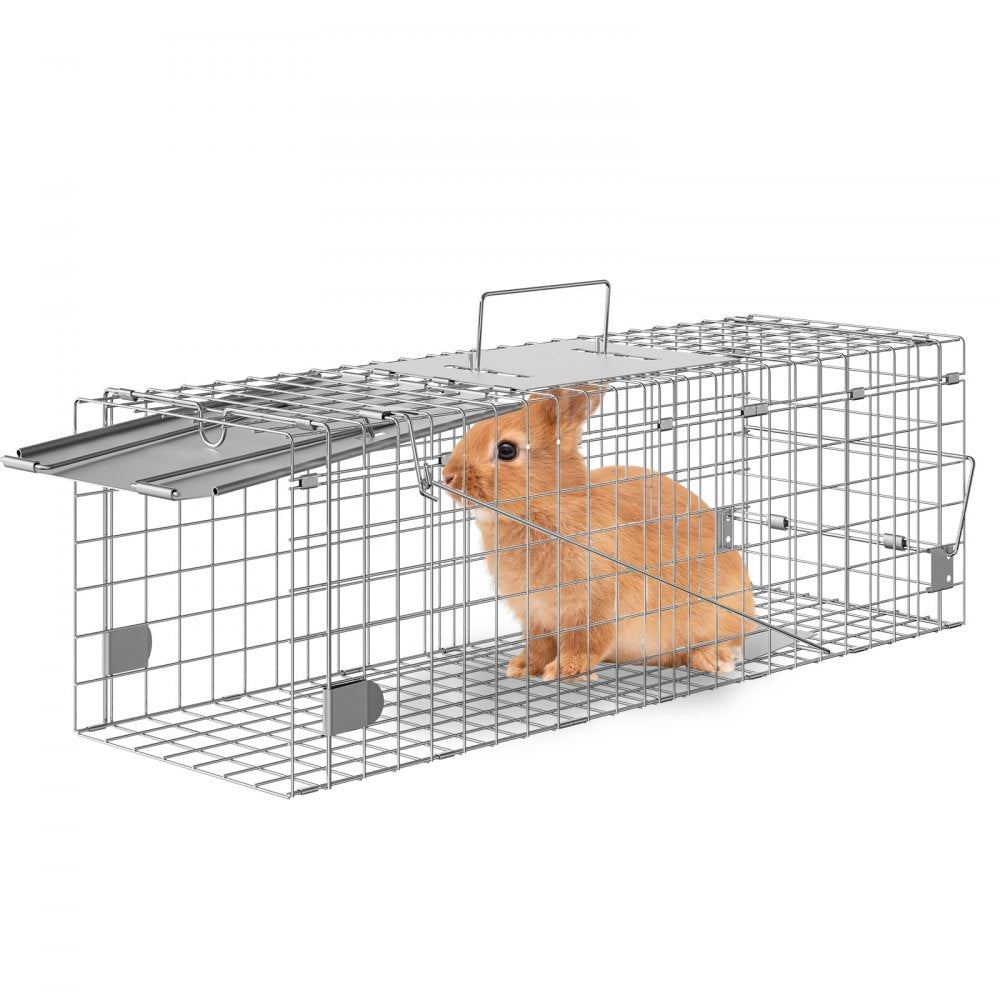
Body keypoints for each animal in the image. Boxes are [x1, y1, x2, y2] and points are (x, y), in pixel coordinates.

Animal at [441, 385, 756, 682]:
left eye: (506, 450)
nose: (448, 477)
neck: (545, 507)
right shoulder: (535, 615)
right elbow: (539, 645)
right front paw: (522, 668)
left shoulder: (598, 606)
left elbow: (585, 642)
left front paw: (566, 671)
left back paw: (715, 660)